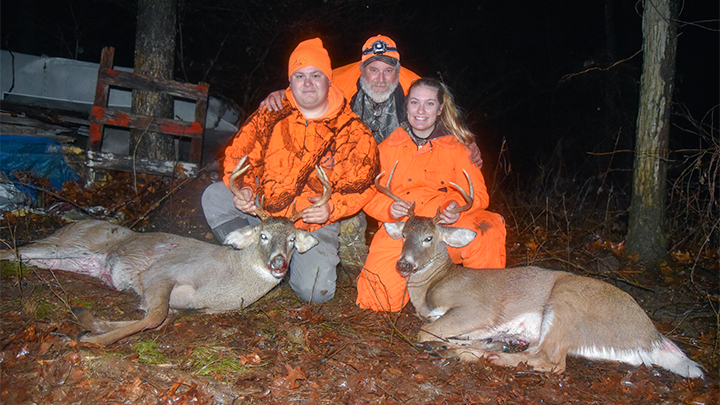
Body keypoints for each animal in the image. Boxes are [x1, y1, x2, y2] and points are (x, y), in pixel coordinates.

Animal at [0, 155, 332, 344]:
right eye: (262, 235)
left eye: (293, 240)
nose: (279, 264)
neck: (224, 281)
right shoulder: (161, 272)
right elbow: (153, 318)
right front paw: (86, 338)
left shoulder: (177, 302)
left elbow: (160, 318)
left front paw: (87, 323)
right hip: (66, 244)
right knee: (15, 250)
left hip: (67, 259)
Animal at [376, 166, 704, 378]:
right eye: (403, 234)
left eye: (429, 238)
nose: (403, 265)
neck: (433, 286)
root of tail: (651, 335)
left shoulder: (477, 307)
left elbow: (423, 329)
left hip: (566, 302)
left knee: (550, 360)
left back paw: (470, 353)